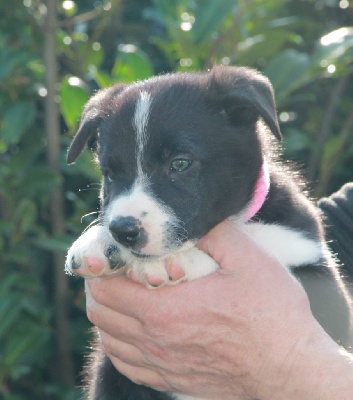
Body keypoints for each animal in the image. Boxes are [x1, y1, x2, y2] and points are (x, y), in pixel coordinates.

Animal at [64, 66, 350, 400]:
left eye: (180, 163)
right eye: (109, 173)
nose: (123, 231)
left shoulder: (326, 295)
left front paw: (177, 260)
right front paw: (99, 242)